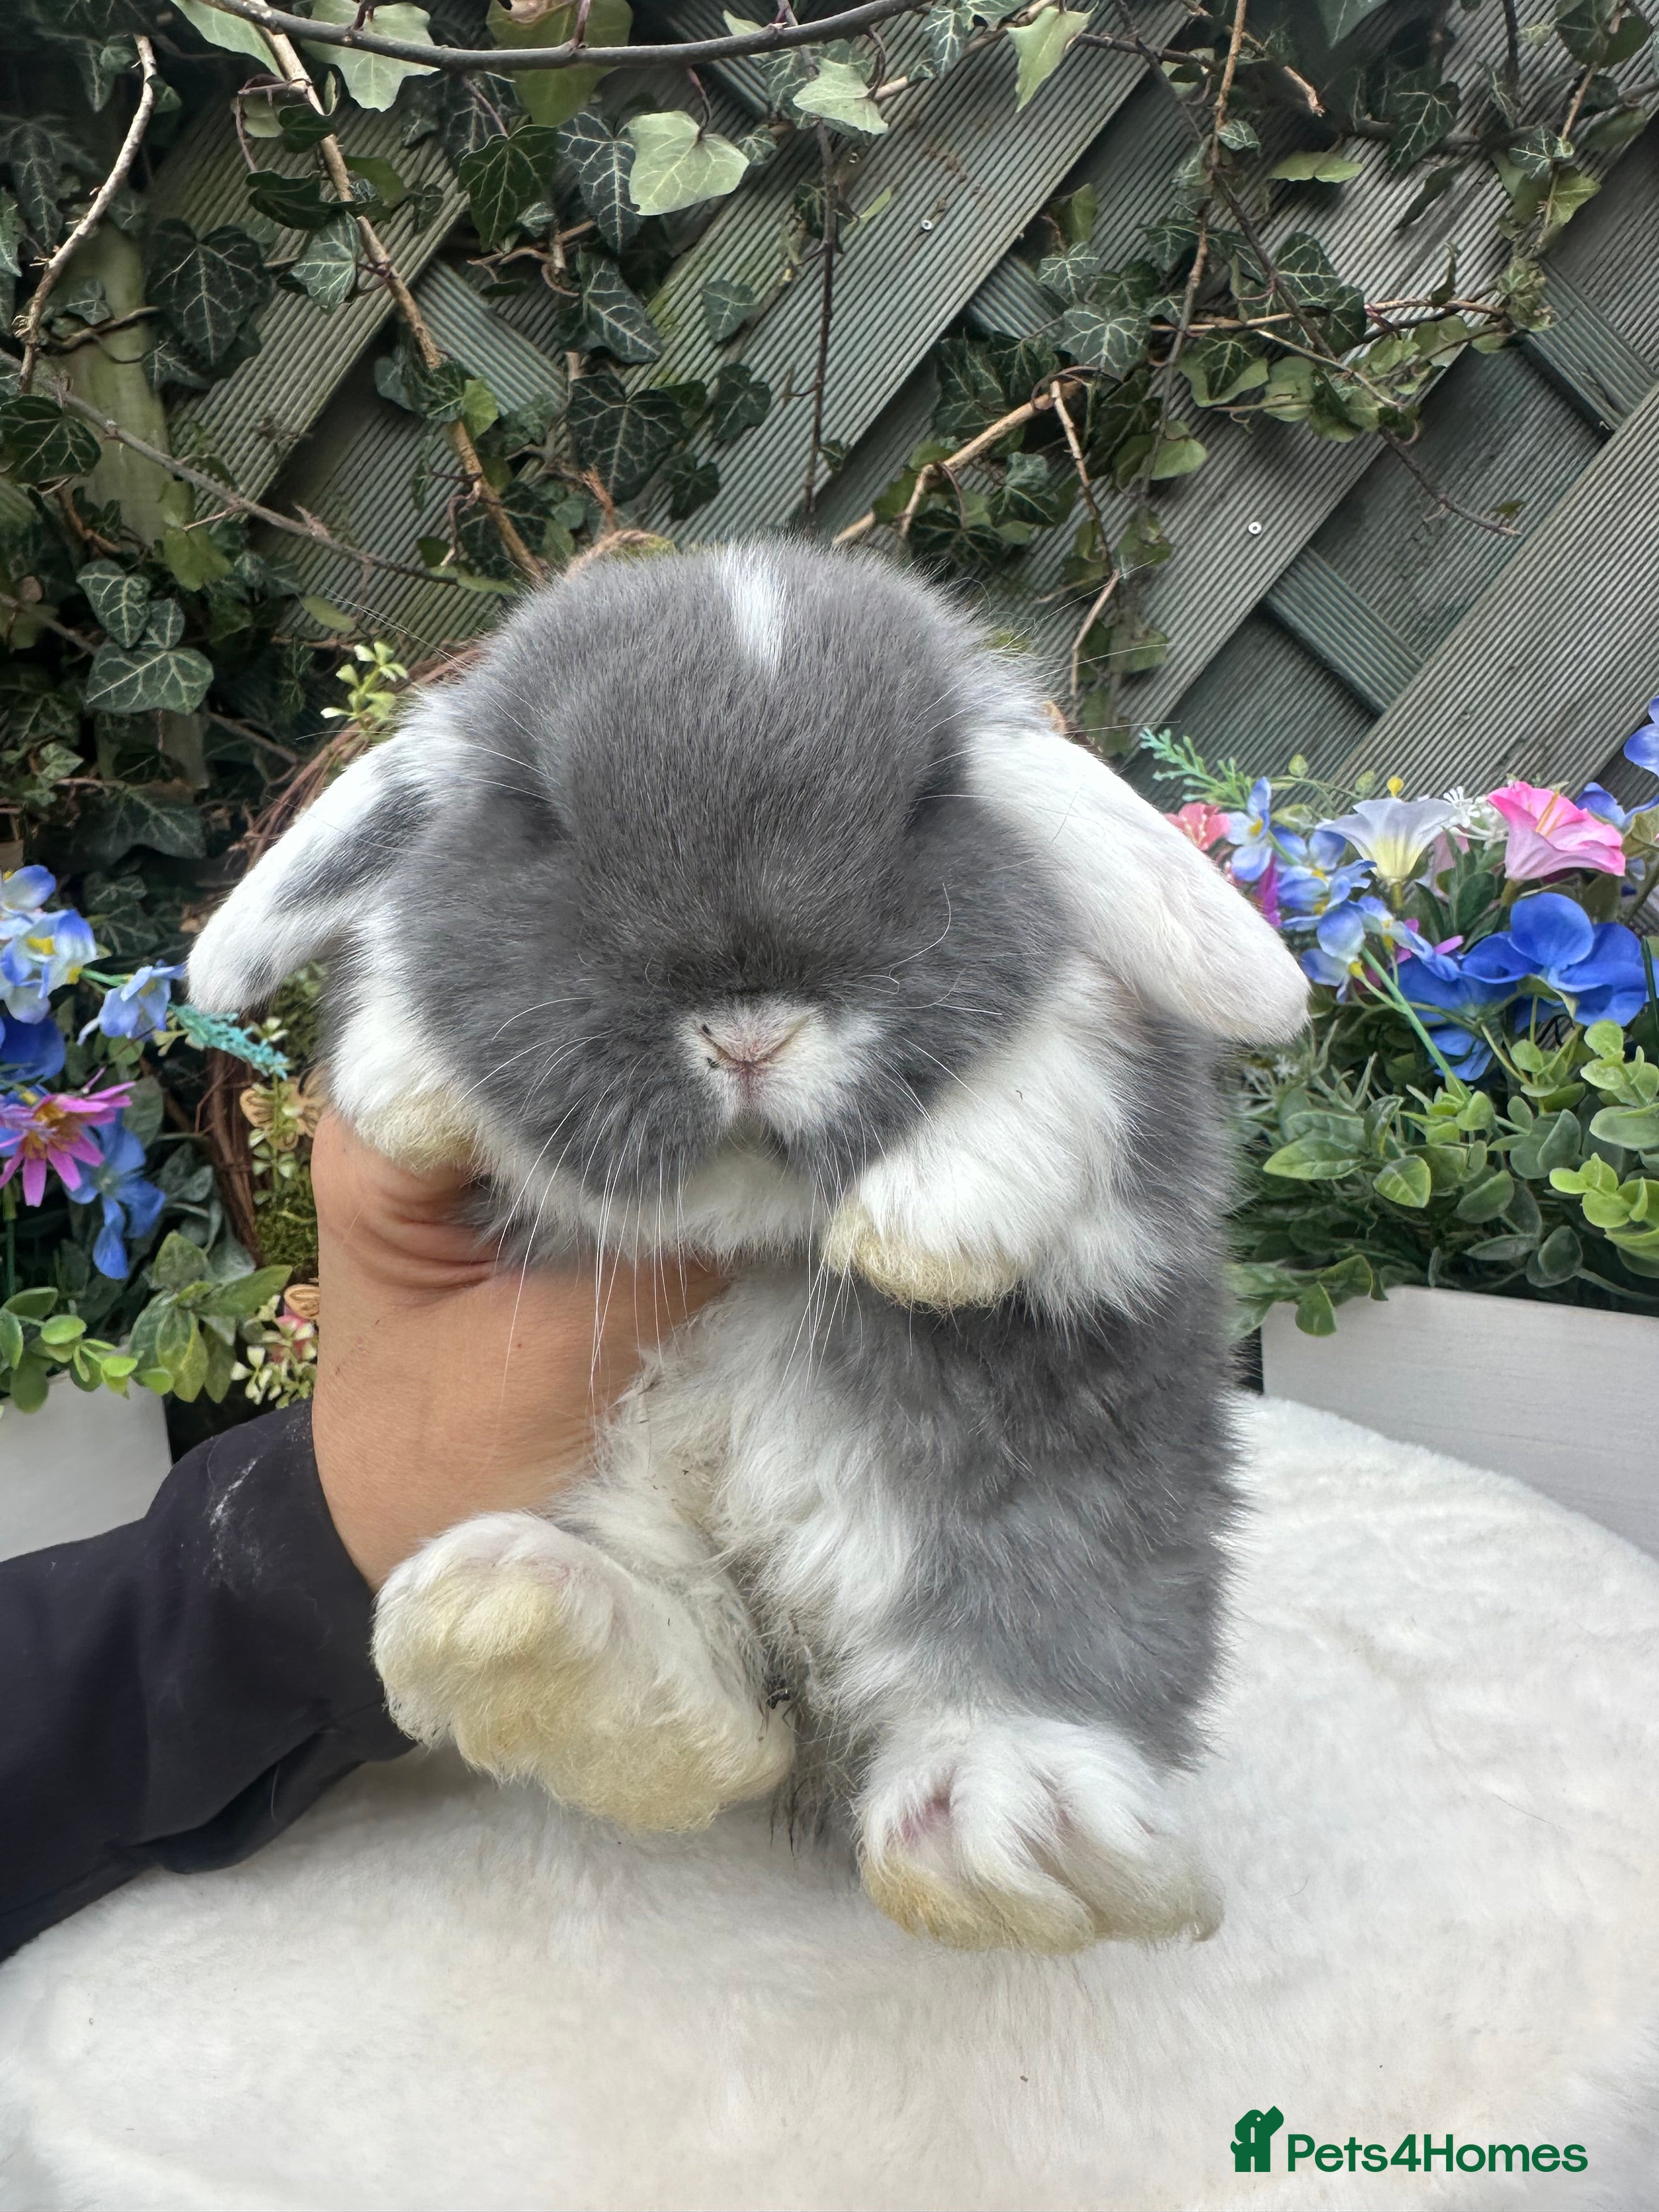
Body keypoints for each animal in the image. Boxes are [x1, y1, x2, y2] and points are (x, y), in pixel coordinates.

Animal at [188, 543, 1307, 1954]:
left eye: (929, 802)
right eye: (538, 813)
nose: (749, 1034)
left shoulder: (1141, 1133)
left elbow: (1064, 1056)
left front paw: (924, 1229)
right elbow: (404, 980)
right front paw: (409, 1087)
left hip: (1056, 1537)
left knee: (1002, 1669)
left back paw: (997, 1831)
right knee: (712, 1719)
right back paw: (522, 1622)